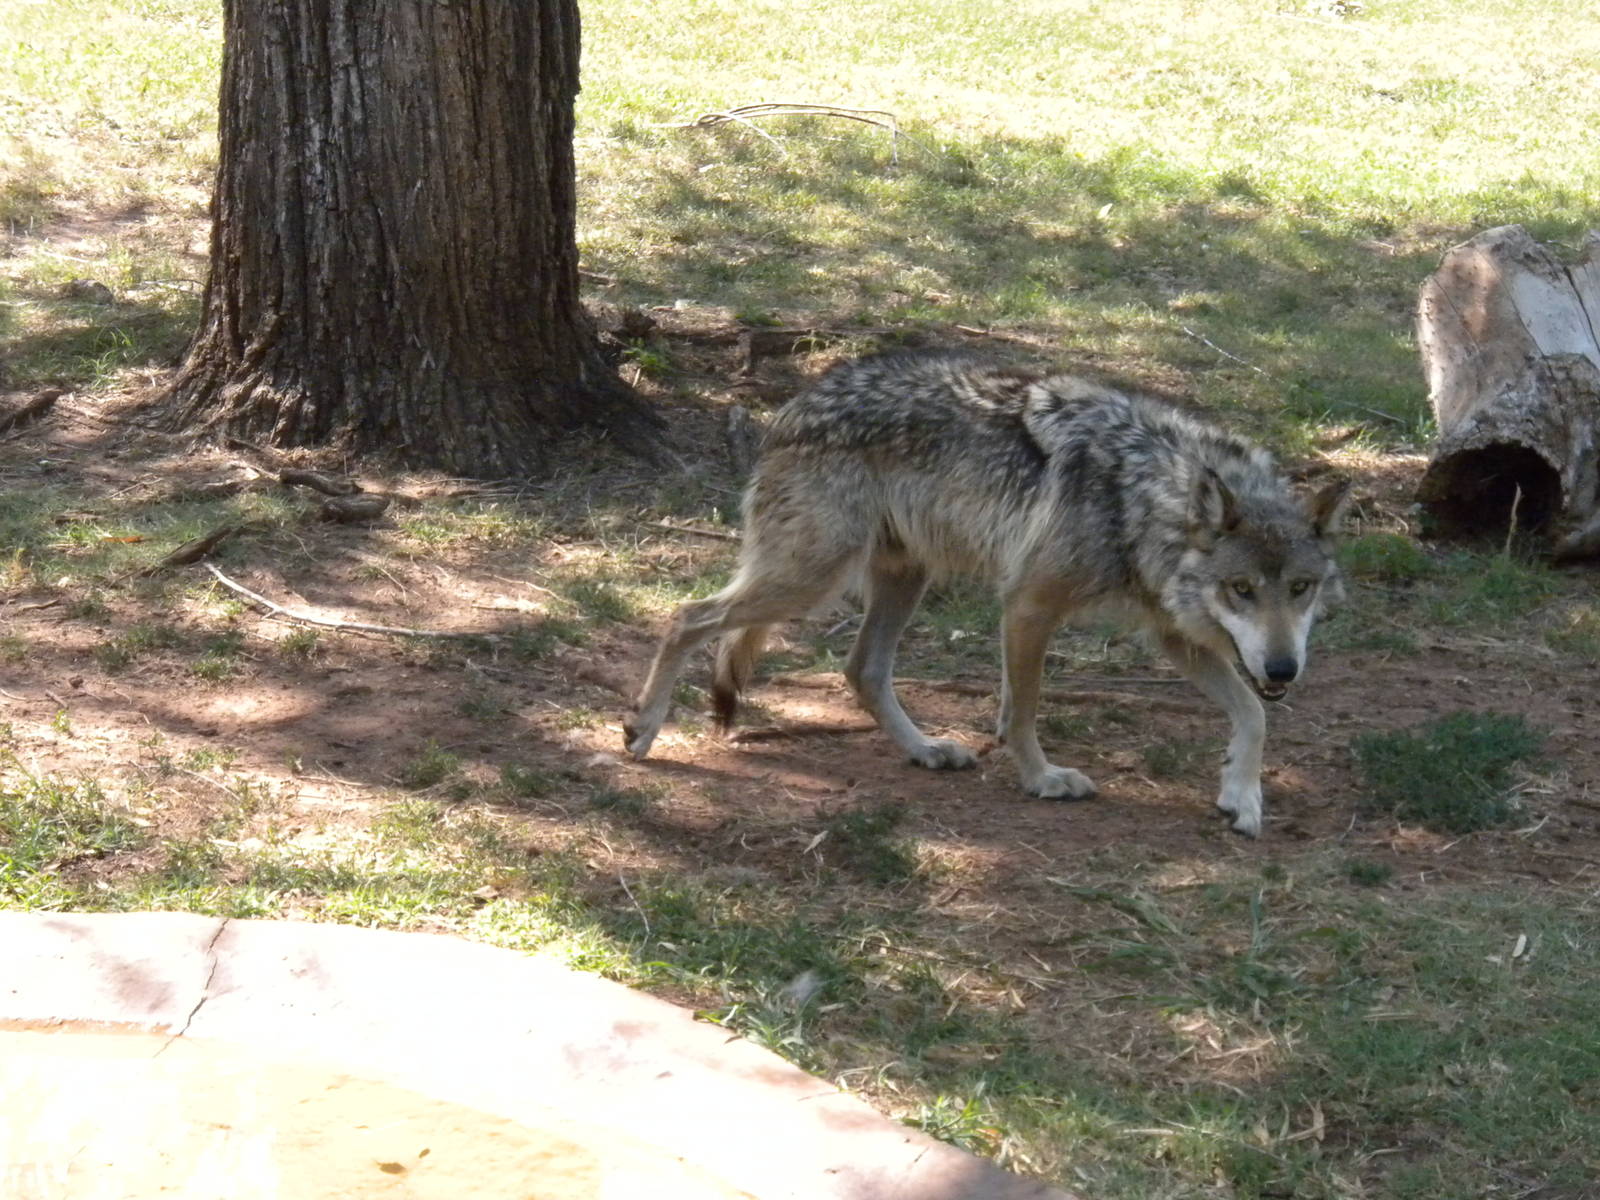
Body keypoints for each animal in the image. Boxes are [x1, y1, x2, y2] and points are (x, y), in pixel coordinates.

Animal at [624, 351, 1350, 837]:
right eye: (1242, 588)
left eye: (1300, 589)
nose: (1283, 668)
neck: (1136, 495)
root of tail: (791, 408)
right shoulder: (1028, 606)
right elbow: (1022, 713)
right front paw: (1043, 781)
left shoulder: (1176, 635)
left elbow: (1254, 716)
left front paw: (1243, 797)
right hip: (810, 580)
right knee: (687, 615)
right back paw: (642, 727)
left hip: (901, 579)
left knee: (862, 669)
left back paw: (924, 750)